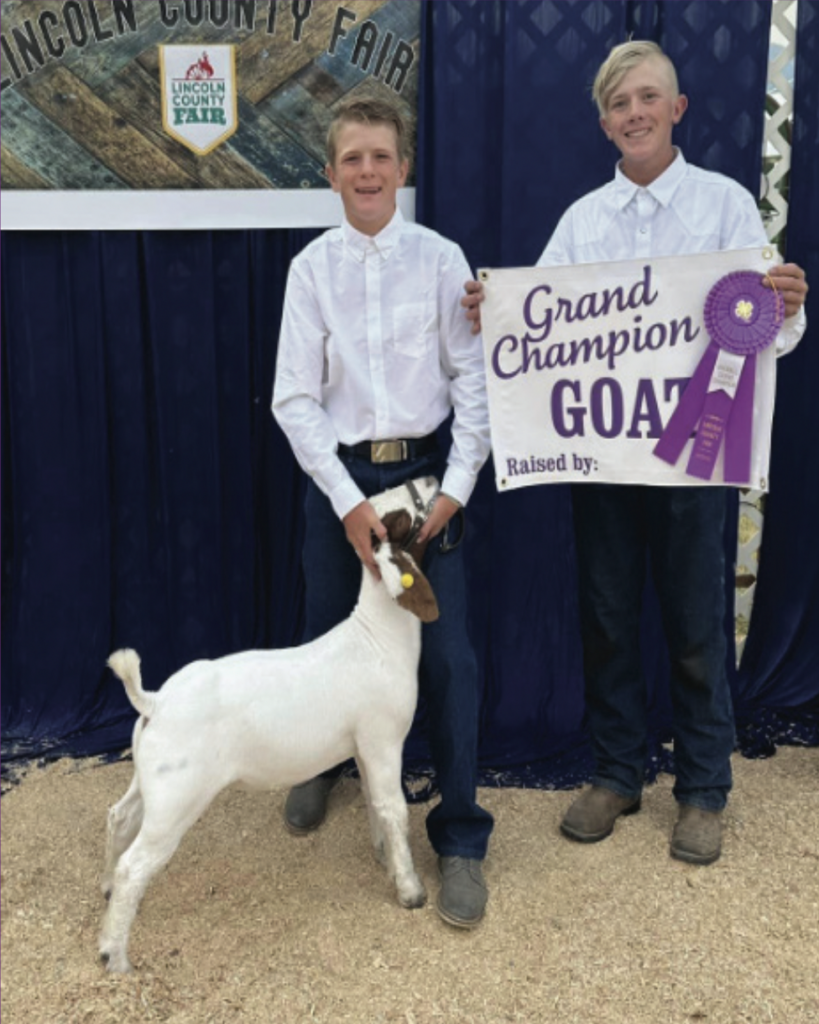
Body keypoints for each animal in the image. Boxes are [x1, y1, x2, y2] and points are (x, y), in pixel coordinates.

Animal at [99, 475, 440, 974]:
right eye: (399, 517)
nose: (432, 479)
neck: (375, 638)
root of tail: (155, 701)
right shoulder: (383, 741)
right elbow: (393, 807)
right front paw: (410, 889)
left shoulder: (362, 747)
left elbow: (374, 803)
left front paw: (385, 858)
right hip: (177, 798)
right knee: (134, 865)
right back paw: (115, 955)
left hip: (150, 780)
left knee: (119, 818)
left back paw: (105, 891)